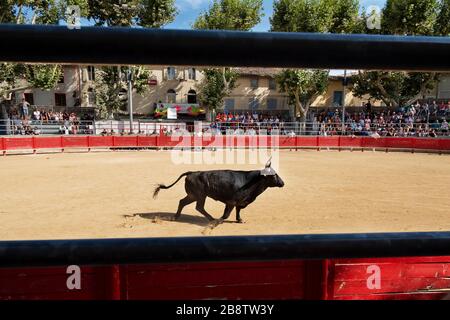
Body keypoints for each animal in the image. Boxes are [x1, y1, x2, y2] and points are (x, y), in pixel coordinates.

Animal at [153, 162, 284, 222]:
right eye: (274, 175)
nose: (282, 183)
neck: (251, 181)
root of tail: (192, 172)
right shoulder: (231, 202)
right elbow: (227, 214)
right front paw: (220, 220)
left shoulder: (240, 202)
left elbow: (238, 211)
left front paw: (239, 220)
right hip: (200, 196)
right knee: (199, 207)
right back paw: (211, 218)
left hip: (193, 195)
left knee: (182, 202)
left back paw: (176, 217)